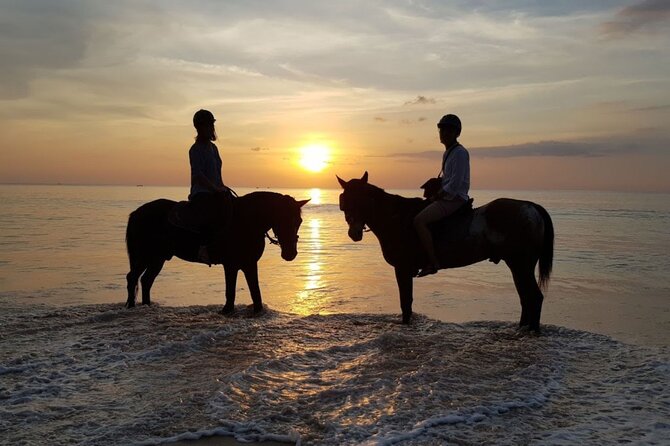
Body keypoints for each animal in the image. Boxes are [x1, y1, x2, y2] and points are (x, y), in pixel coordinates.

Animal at [125, 192, 310, 314]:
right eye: (284, 219)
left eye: (299, 221)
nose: (290, 253)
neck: (246, 221)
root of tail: (136, 213)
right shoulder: (231, 265)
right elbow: (231, 290)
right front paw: (227, 310)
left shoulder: (249, 263)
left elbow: (255, 290)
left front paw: (257, 311)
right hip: (144, 256)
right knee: (132, 277)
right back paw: (131, 306)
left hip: (158, 258)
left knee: (146, 280)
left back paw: (147, 306)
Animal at [336, 172, 556, 332]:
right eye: (345, 202)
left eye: (361, 200)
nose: (354, 233)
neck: (397, 218)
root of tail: (530, 206)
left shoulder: (402, 269)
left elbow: (405, 302)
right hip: (517, 266)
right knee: (525, 297)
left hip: (521, 265)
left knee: (534, 297)